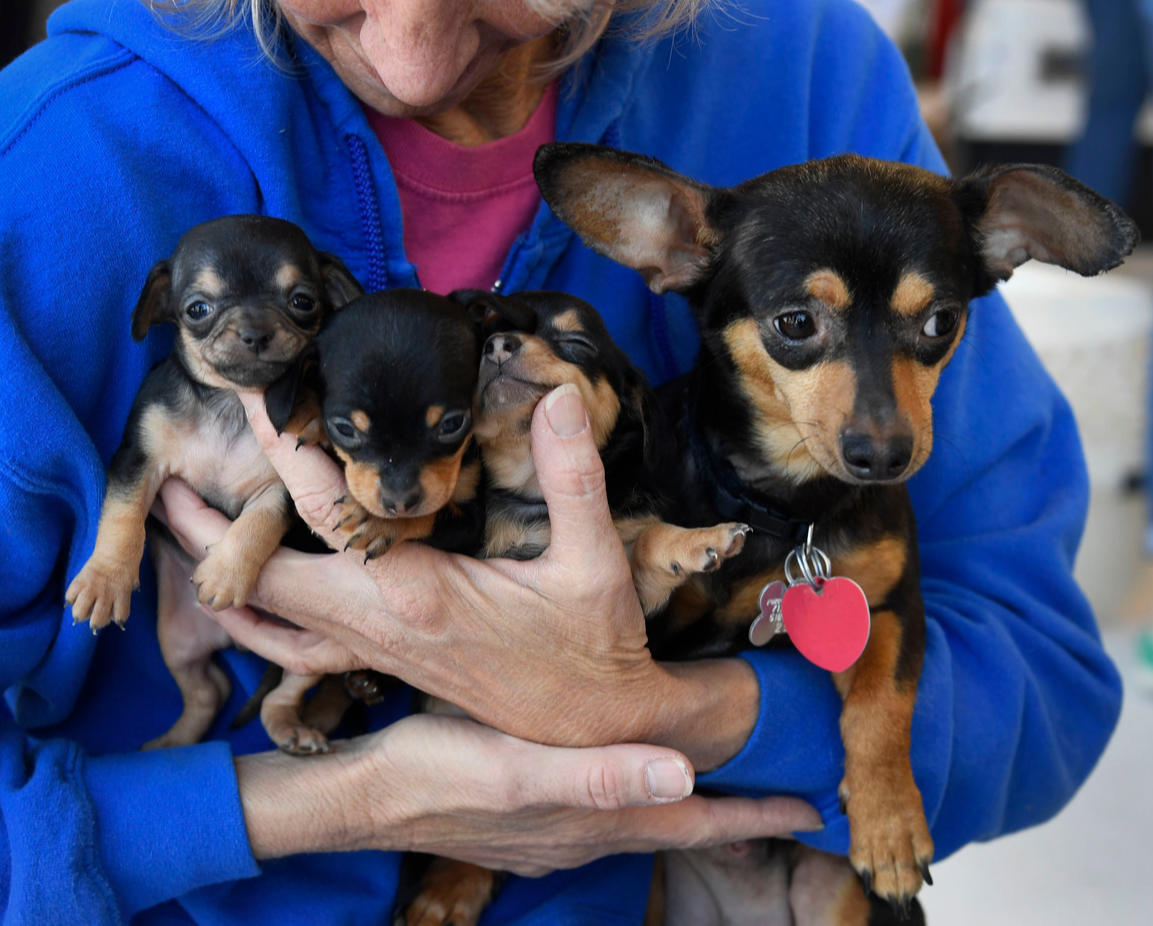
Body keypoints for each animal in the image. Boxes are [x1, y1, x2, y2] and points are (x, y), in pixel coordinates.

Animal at [65, 215, 362, 751]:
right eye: (197, 309)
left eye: (302, 301)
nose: (255, 331)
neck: (230, 404)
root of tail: (231, 640)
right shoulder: (139, 459)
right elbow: (122, 516)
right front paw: (104, 580)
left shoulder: (283, 491)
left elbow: (257, 524)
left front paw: (226, 573)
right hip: (176, 640)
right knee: (209, 690)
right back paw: (170, 746)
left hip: (312, 649)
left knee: (279, 693)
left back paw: (291, 730)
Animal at [534, 142, 1139, 917]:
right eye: (795, 324)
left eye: (941, 322)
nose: (883, 454)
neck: (790, 511)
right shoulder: (648, 628)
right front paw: (678, 551)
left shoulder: (894, 607)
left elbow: (882, 703)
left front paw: (890, 825)